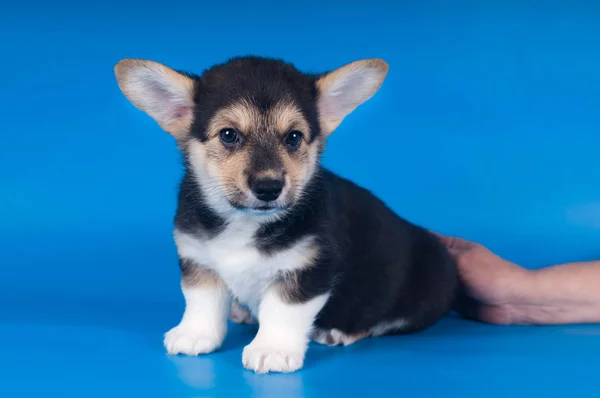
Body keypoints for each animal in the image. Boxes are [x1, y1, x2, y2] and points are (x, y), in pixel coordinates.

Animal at [115, 56, 458, 374]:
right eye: (228, 135)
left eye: (293, 137)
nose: (269, 187)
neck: (246, 223)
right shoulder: (198, 259)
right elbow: (201, 301)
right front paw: (195, 334)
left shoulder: (308, 269)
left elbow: (282, 310)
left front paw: (272, 350)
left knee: (383, 320)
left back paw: (339, 331)